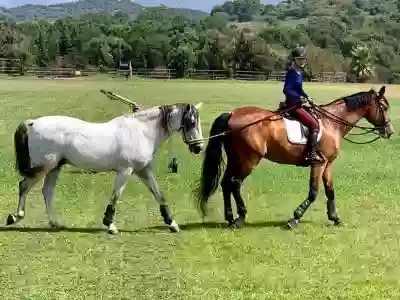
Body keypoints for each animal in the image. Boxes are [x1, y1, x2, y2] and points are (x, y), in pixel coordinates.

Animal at [6, 102, 205, 233]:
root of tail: (33, 123)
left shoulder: (144, 171)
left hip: (55, 167)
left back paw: (55, 223)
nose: (199, 147)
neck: (141, 132)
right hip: (44, 167)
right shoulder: (125, 171)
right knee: (24, 186)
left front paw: (172, 223)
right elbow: (115, 197)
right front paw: (110, 225)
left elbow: (159, 194)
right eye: (191, 122)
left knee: (47, 192)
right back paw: (15, 216)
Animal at [195, 85, 392, 229]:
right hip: (248, 160)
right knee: (235, 184)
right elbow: (313, 192)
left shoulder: (327, 164)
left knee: (226, 183)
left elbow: (330, 191)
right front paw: (295, 218)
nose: (390, 131)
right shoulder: (318, 164)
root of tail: (231, 114)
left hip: (235, 159)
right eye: (384, 107)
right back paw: (240, 218)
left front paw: (335, 217)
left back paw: (230, 218)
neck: (332, 123)